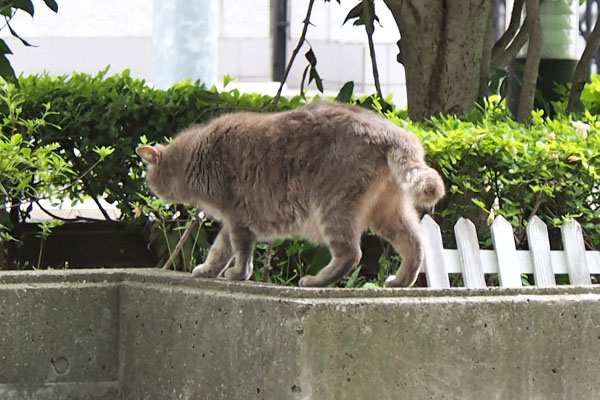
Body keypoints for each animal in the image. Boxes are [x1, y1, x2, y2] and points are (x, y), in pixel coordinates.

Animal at [137, 101, 446, 286]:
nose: (150, 187)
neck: (195, 155)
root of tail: (396, 133)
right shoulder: (233, 220)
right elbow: (220, 249)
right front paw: (209, 270)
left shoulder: (237, 216)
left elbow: (239, 251)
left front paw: (238, 274)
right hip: (387, 212)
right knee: (416, 244)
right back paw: (401, 281)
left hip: (332, 206)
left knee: (351, 253)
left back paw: (316, 281)